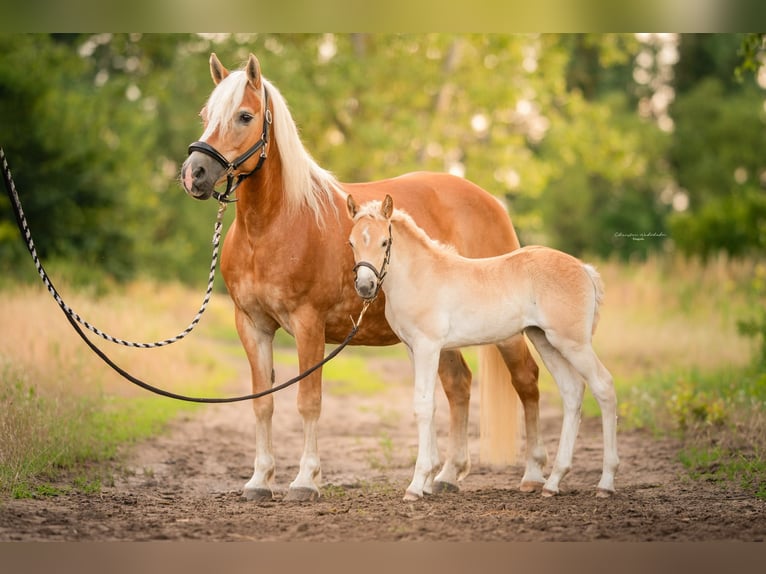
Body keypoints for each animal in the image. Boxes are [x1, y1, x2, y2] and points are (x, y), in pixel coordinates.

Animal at [180, 54, 544, 504]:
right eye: (205, 115)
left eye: (244, 116)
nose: (194, 173)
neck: (274, 225)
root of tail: (492, 201)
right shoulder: (252, 326)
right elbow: (262, 403)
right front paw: (259, 480)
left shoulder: (308, 325)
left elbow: (309, 401)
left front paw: (305, 480)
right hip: (440, 336)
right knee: (458, 385)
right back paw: (445, 475)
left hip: (507, 333)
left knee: (526, 381)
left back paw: (533, 474)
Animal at [346, 196, 616, 502]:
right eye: (352, 243)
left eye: (383, 242)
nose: (365, 287)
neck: (420, 275)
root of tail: (584, 269)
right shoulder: (413, 349)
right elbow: (429, 404)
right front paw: (427, 481)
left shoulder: (428, 346)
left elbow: (423, 406)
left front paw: (416, 486)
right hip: (545, 340)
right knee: (572, 391)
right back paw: (553, 482)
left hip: (573, 343)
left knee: (604, 386)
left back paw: (605, 483)